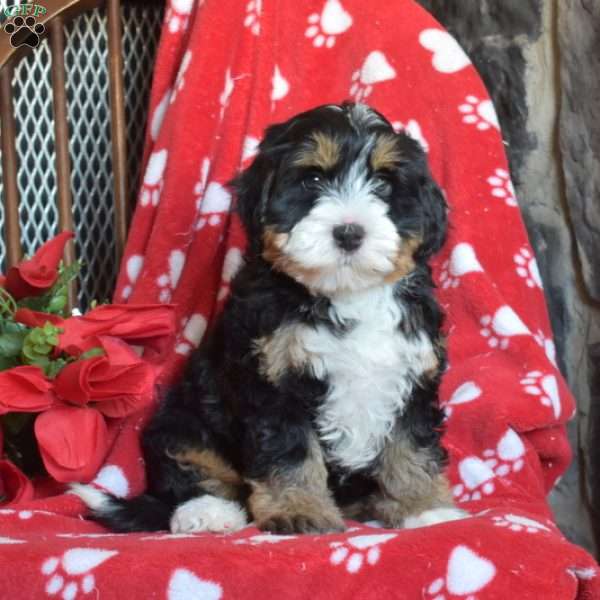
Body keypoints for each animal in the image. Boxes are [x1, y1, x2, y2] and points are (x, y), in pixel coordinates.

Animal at [74, 102, 468, 536]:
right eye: (313, 179)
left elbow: (412, 446)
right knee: (188, 473)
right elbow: (289, 452)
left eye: (383, 185)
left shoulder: (415, 373)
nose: (349, 232)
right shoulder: (275, 379)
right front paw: (300, 510)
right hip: (181, 421)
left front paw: (425, 508)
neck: (345, 294)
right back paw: (207, 513)